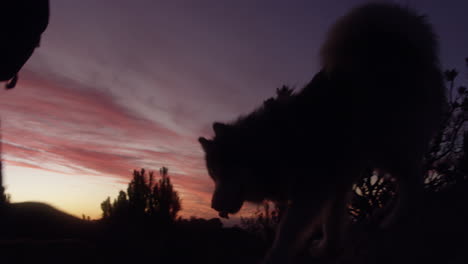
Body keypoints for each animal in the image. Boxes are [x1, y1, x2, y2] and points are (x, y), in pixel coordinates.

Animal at [198, 2, 446, 264]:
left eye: (222, 173)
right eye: (213, 175)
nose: (213, 206)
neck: (277, 142)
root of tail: (402, 37)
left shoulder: (313, 190)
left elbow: (287, 231)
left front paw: (276, 257)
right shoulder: (337, 182)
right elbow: (333, 222)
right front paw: (329, 248)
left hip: (386, 145)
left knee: (414, 180)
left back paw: (394, 218)